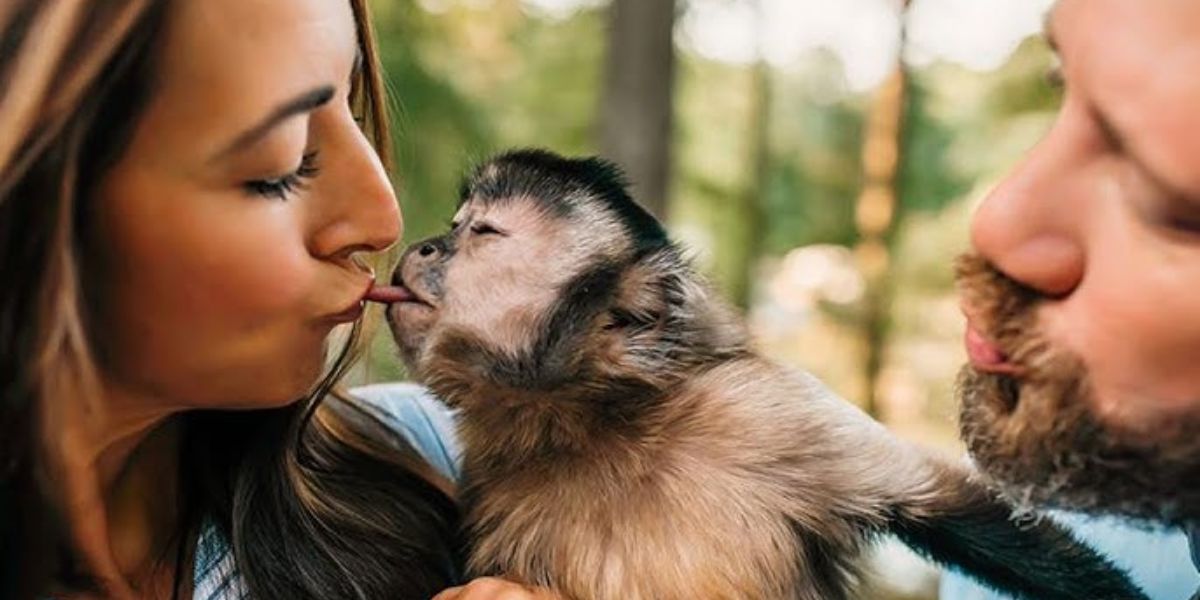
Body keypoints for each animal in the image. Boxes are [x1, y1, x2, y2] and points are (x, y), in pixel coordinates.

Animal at [372, 149, 1147, 600]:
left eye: (481, 234)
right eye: (457, 225)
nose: (425, 245)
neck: (601, 425)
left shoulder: (761, 411)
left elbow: (940, 503)